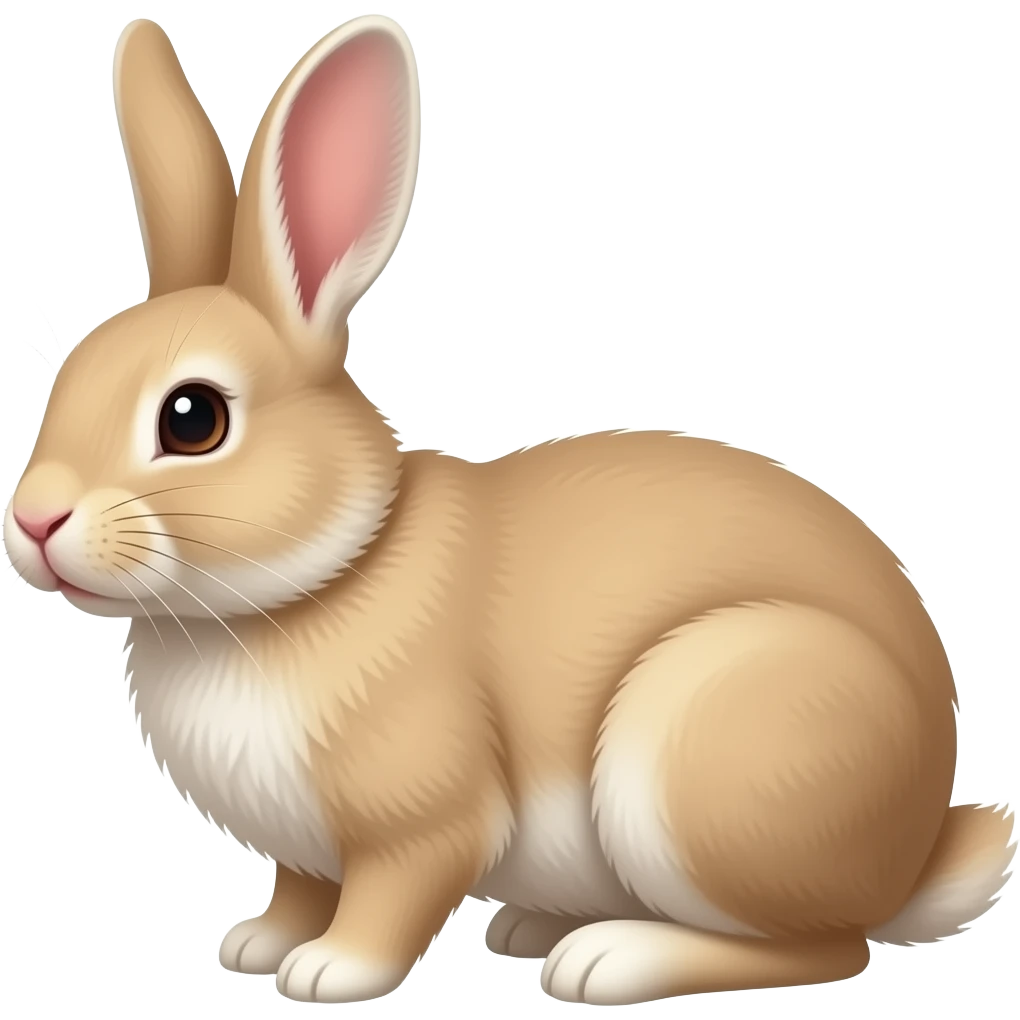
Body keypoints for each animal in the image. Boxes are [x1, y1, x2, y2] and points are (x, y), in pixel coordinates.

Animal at [4, 14, 1014, 1008]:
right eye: (66, 378)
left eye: (193, 418)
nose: (35, 522)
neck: (319, 579)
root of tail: (917, 849)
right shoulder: (307, 850)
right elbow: (299, 888)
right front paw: (257, 945)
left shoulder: (424, 818)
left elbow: (392, 895)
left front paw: (330, 972)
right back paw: (534, 929)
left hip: (705, 747)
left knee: (825, 947)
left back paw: (609, 960)